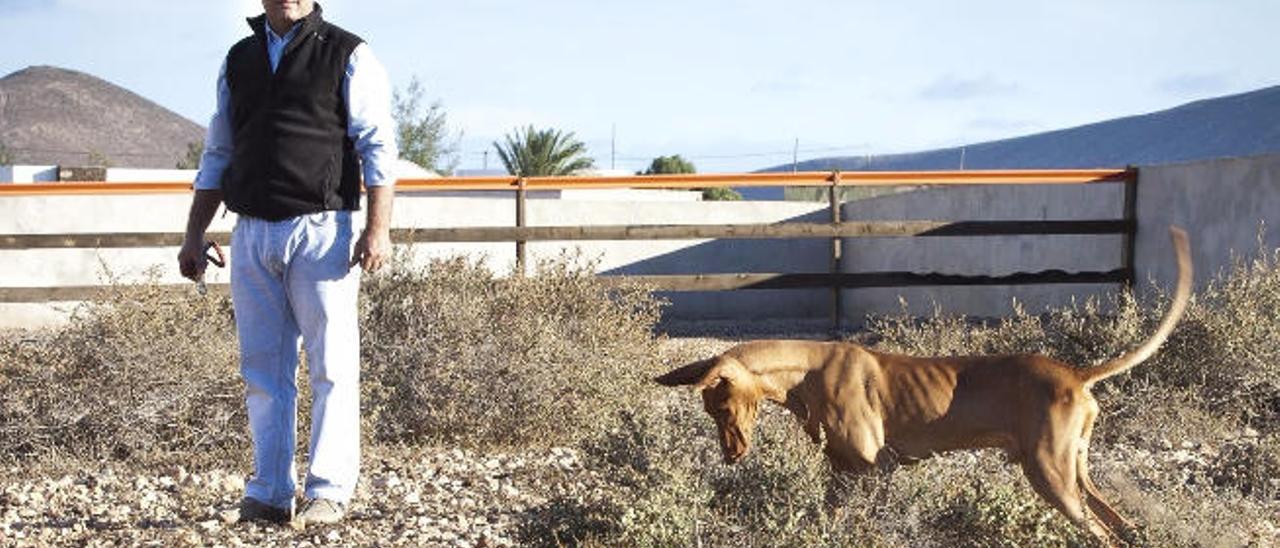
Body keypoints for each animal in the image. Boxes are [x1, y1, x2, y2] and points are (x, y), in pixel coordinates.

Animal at [655, 225, 1192, 542]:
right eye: (710, 413)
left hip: (1050, 473)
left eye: (725, 408)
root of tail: (1075, 374)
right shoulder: (840, 473)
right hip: (1074, 470)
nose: (732, 455)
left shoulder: (875, 468)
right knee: (1121, 526)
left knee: (1101, 533)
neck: (806, 372)